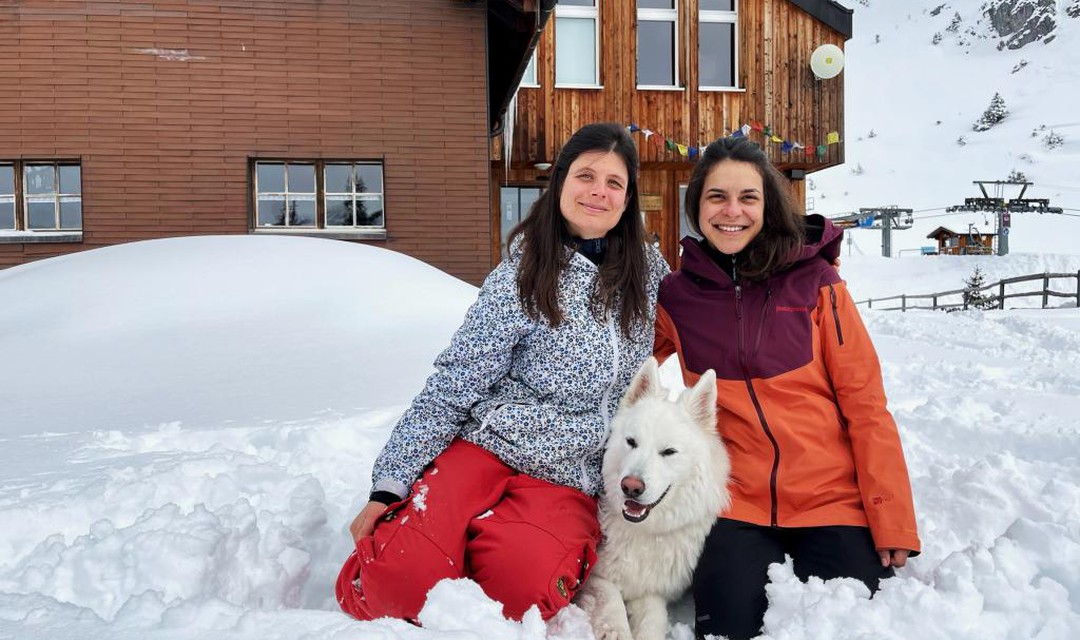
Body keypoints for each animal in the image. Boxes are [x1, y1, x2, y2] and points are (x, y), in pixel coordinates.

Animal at [578, 356, 730, 634]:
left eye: (669, 452)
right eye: (631, 442)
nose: (631, 486)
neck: (642, 531)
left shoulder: (652, 591)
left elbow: (654, 620)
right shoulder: (595, 575)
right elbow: (611, 600)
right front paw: (616, 632)